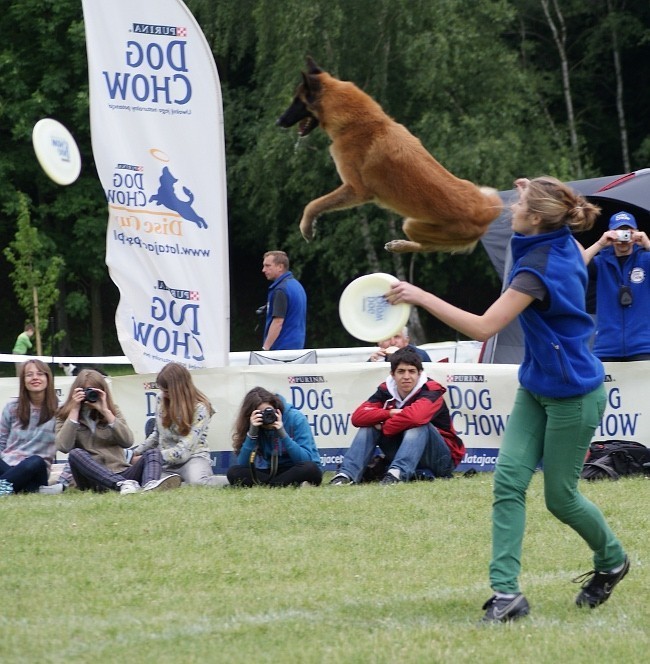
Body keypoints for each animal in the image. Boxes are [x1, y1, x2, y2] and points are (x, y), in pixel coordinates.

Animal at [274, 57, 502, 252]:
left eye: (297, 101)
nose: (278, 122)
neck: (359, 121)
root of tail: (486, 213)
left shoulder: (356, 189)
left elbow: (314, 204)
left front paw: (306, 226)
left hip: (411, 225)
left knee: (428, 246)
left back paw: (400, 246)